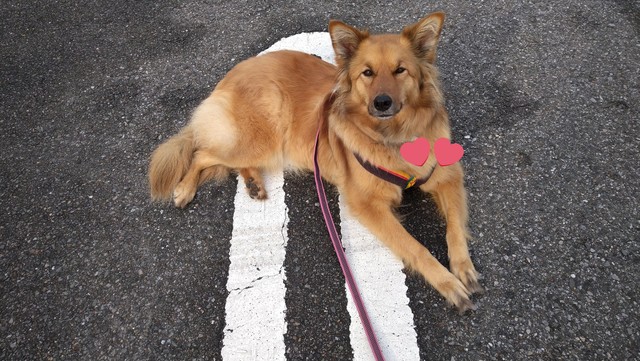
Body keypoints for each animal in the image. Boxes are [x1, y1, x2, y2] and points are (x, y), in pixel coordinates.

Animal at [149, 11, 480, 310]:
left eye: (401, 70)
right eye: (367, 73)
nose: (382, 103)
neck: (393, 137)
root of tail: (231, 75)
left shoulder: (447, 176)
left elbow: (454, 226)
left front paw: (463, 267)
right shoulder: (367, 204)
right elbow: (416, 246)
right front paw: (447, 282)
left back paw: (253, 183)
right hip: (262, 138)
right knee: (201, 152)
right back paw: (185, 188)